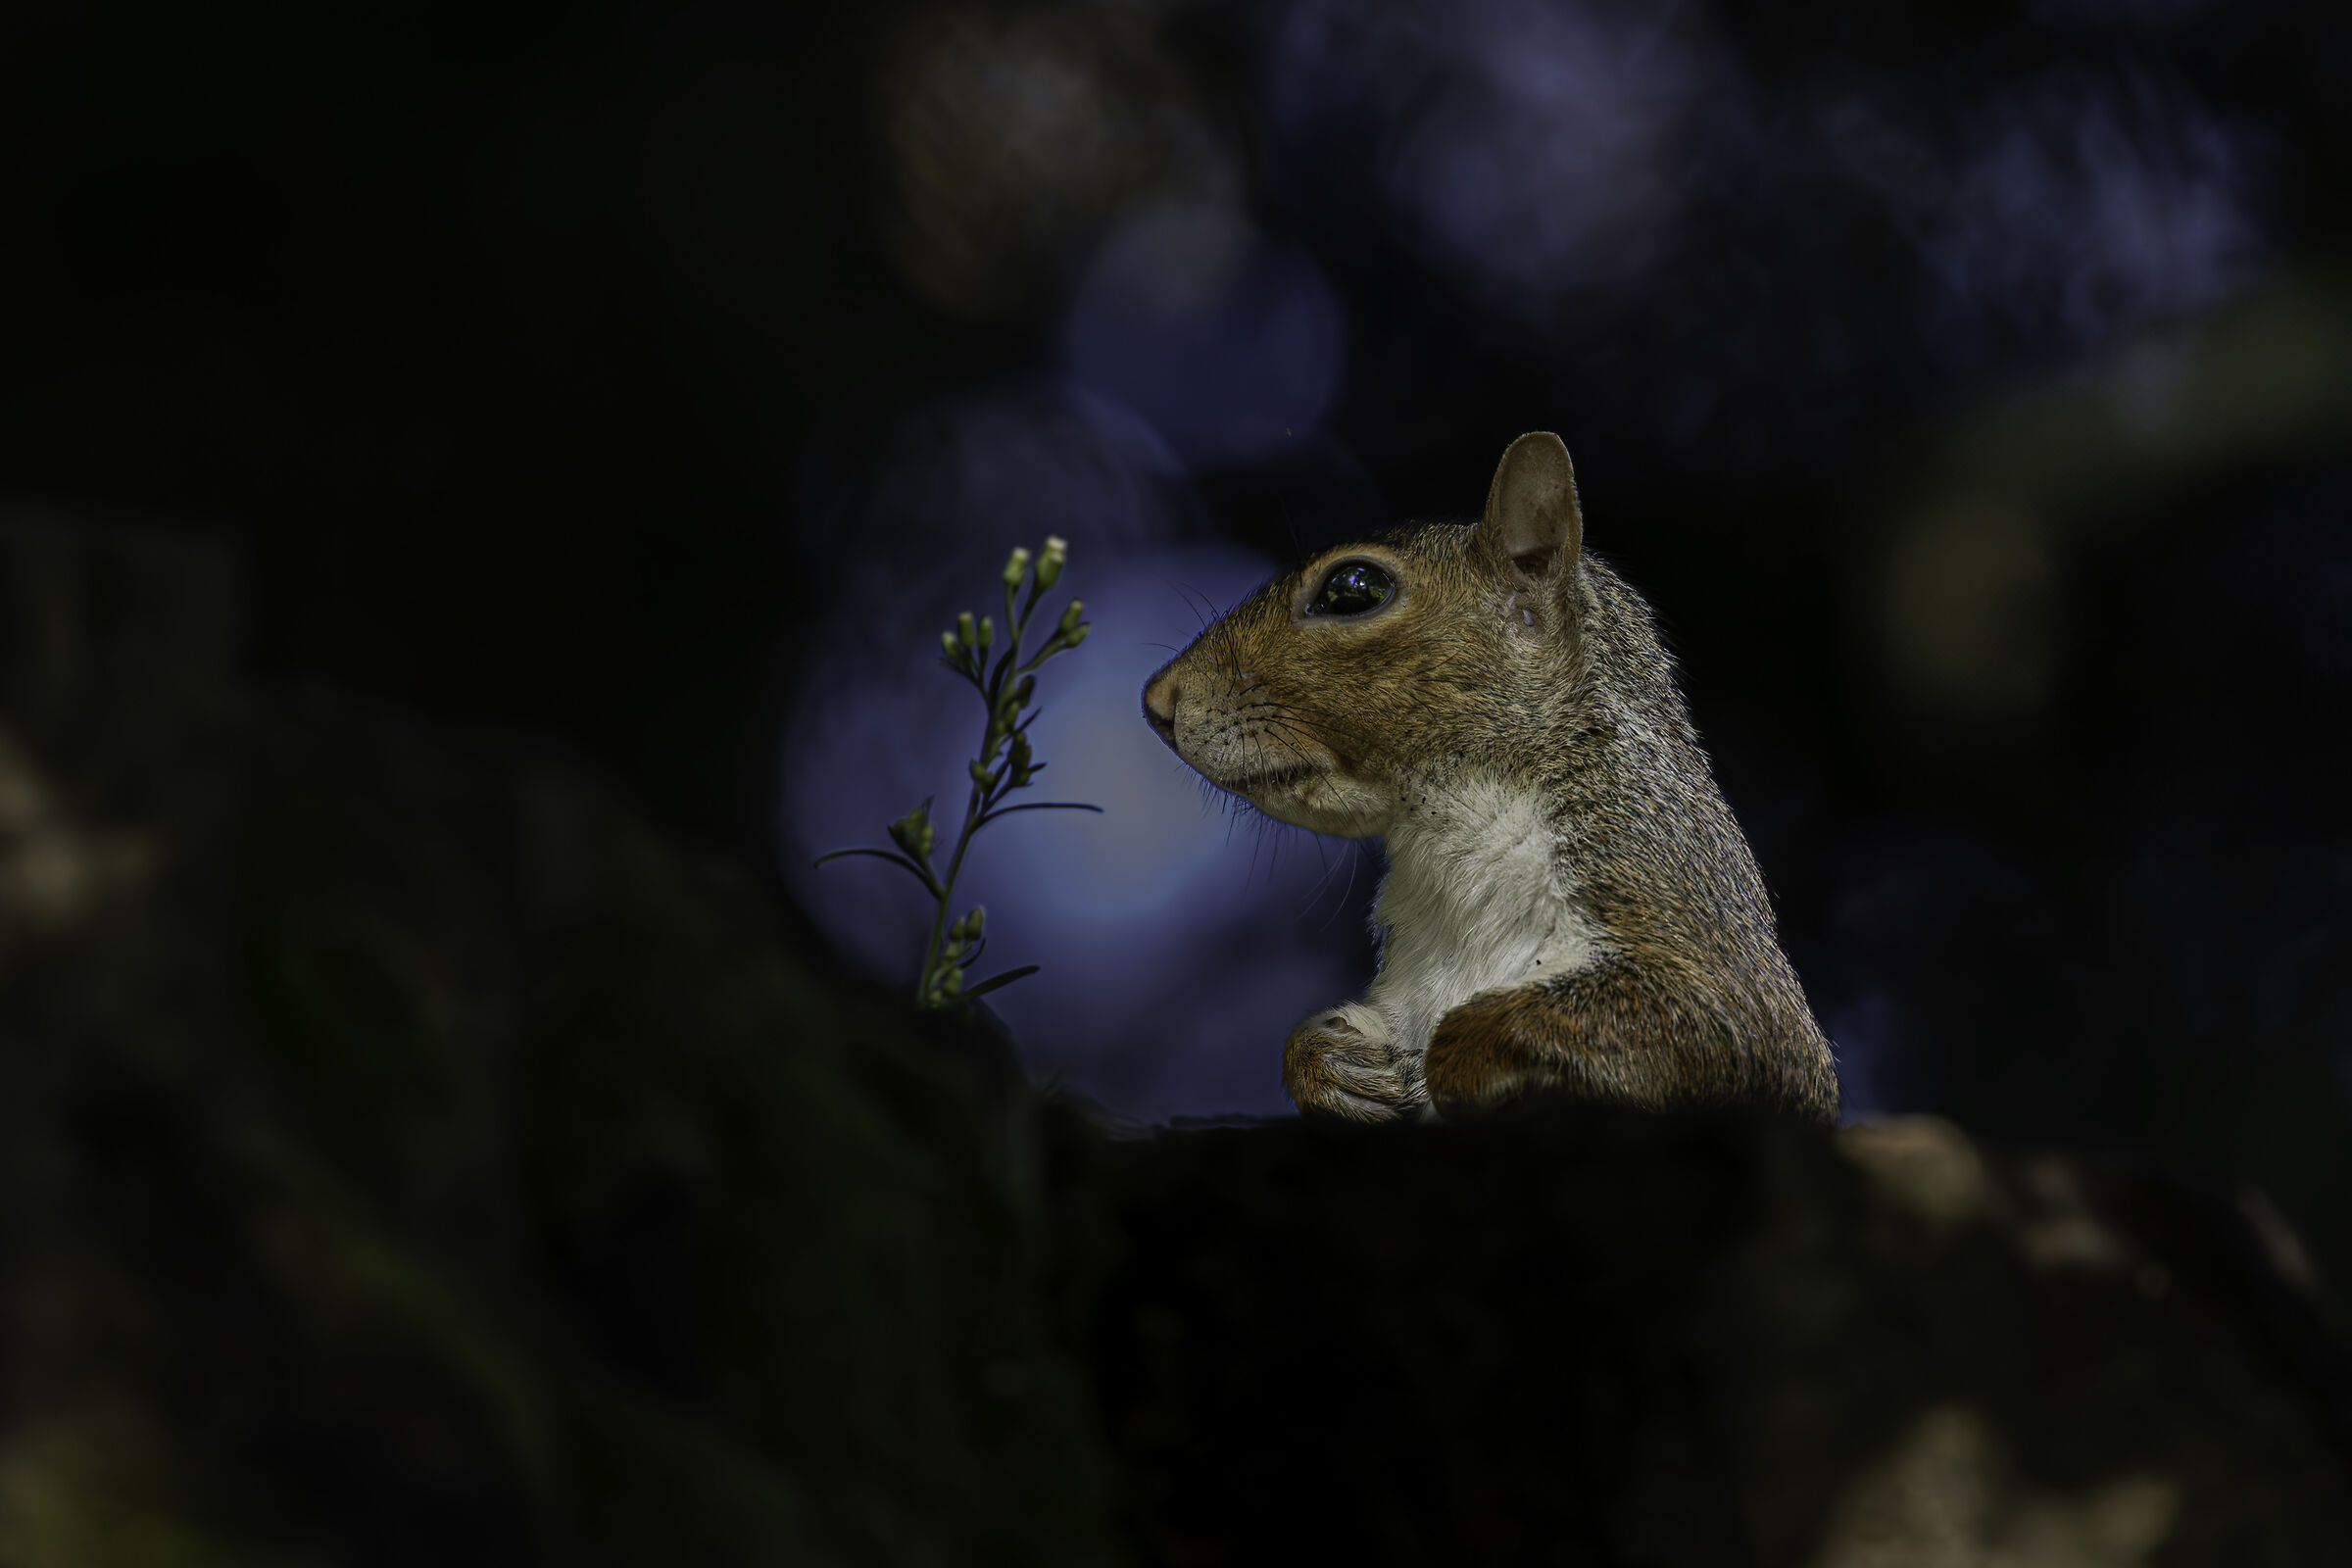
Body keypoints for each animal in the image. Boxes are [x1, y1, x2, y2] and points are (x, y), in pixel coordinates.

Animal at [1141, 432, 1839, 1125]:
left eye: (1353, 588)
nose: (1156, 703)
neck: (1450, 825)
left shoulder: (1656, 888)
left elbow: (1720, 1027)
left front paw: (1458, 1052)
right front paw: (1330, 1062)